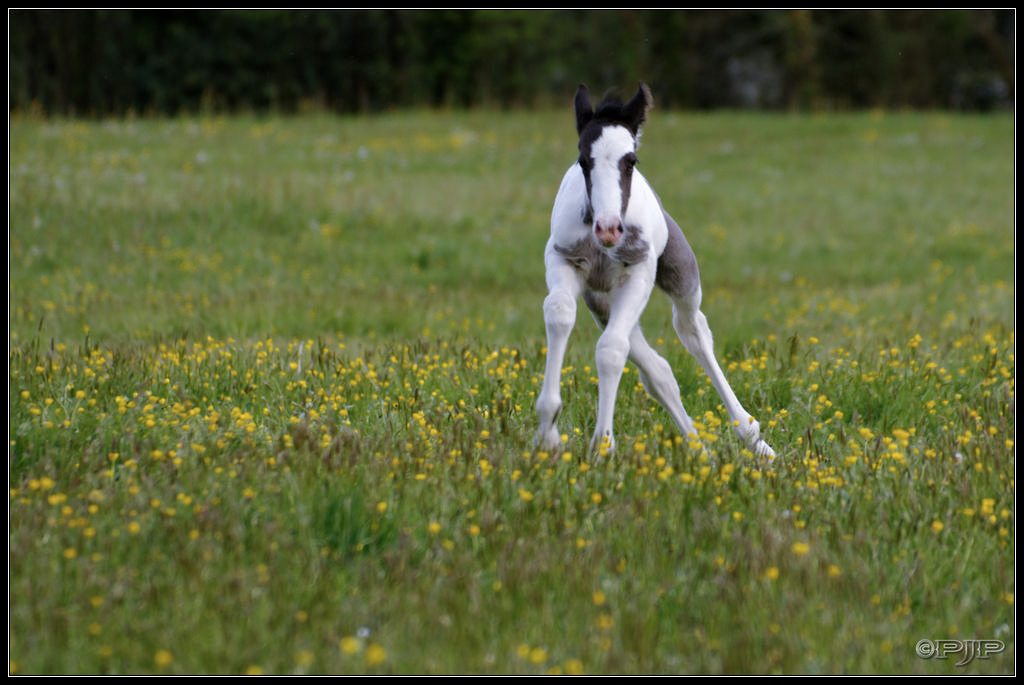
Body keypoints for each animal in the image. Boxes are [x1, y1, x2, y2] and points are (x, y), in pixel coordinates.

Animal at [536, 83, 774, 458]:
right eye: (583, 160)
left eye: (630, 161)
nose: (608, 229)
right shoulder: (564, 262)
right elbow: (560, 314)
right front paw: (548, 435)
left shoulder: (639, 274)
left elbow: (611, 350)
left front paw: (603, 447)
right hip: (601, 301)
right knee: (658, 372)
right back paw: (699, 450)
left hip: (680, 273)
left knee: (692, 329)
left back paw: (753, 438)